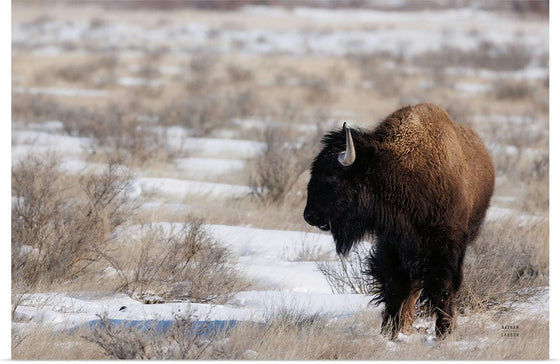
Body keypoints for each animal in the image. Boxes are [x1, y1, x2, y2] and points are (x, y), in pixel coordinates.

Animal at [304, 102, 492, 338]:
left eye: (332, 176)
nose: (309, 215)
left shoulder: (448, 245)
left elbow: (443, 287)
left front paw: (444, 332)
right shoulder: (392, 244)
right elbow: (395, 287)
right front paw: (390, 332)